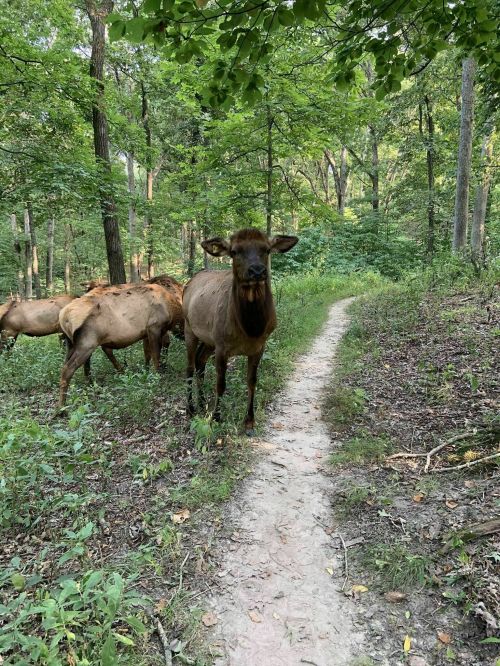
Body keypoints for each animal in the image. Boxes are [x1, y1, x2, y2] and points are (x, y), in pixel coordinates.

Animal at [182, 228, 298, 435]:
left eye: (267, 249)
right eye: (234, 251)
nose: (257, 271)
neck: (250, 329)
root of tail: (188, 283)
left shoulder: (259, 346)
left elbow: (252, 381)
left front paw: (249, 422)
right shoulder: (222, 345)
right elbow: (221, 384)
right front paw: (216, 418)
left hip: (209, 339)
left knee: (199, 360)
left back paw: (202, 403)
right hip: (189, 327)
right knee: (189, 366)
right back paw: (190, 408)